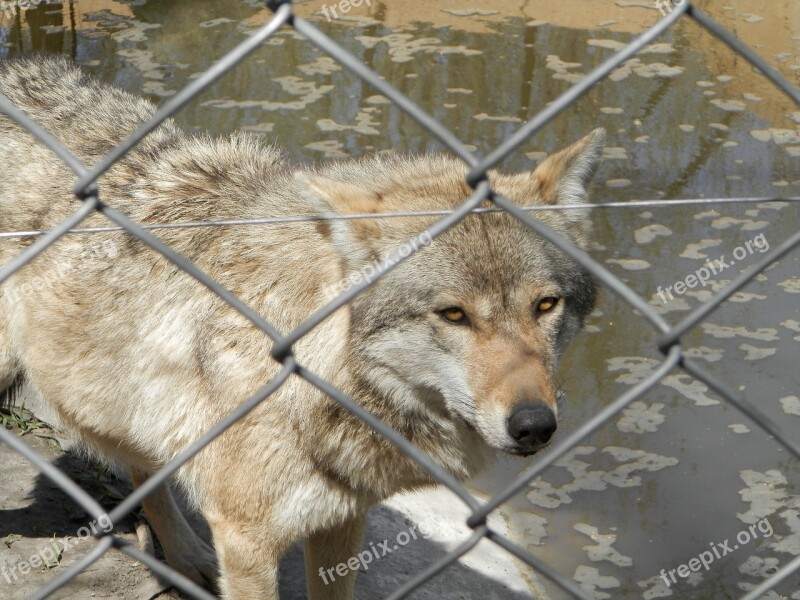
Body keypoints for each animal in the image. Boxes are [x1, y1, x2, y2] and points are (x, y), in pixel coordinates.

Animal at [0, 57, 600, 600]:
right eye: (453, 314)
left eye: (546, 305)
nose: (534, 426)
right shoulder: (246, 541)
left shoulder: (343, 518)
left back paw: (186, 560)